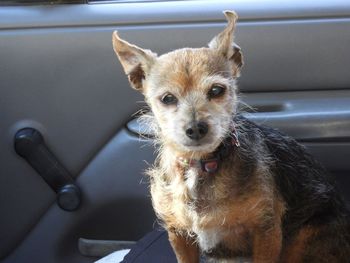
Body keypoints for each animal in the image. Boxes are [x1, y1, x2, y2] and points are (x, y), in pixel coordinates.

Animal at [113, 10, 350, 263]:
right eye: (167, 98)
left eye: (217, 90)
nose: (196, 128)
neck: (199, 165)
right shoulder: (178, 234)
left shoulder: (267, 231)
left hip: (303, 239)